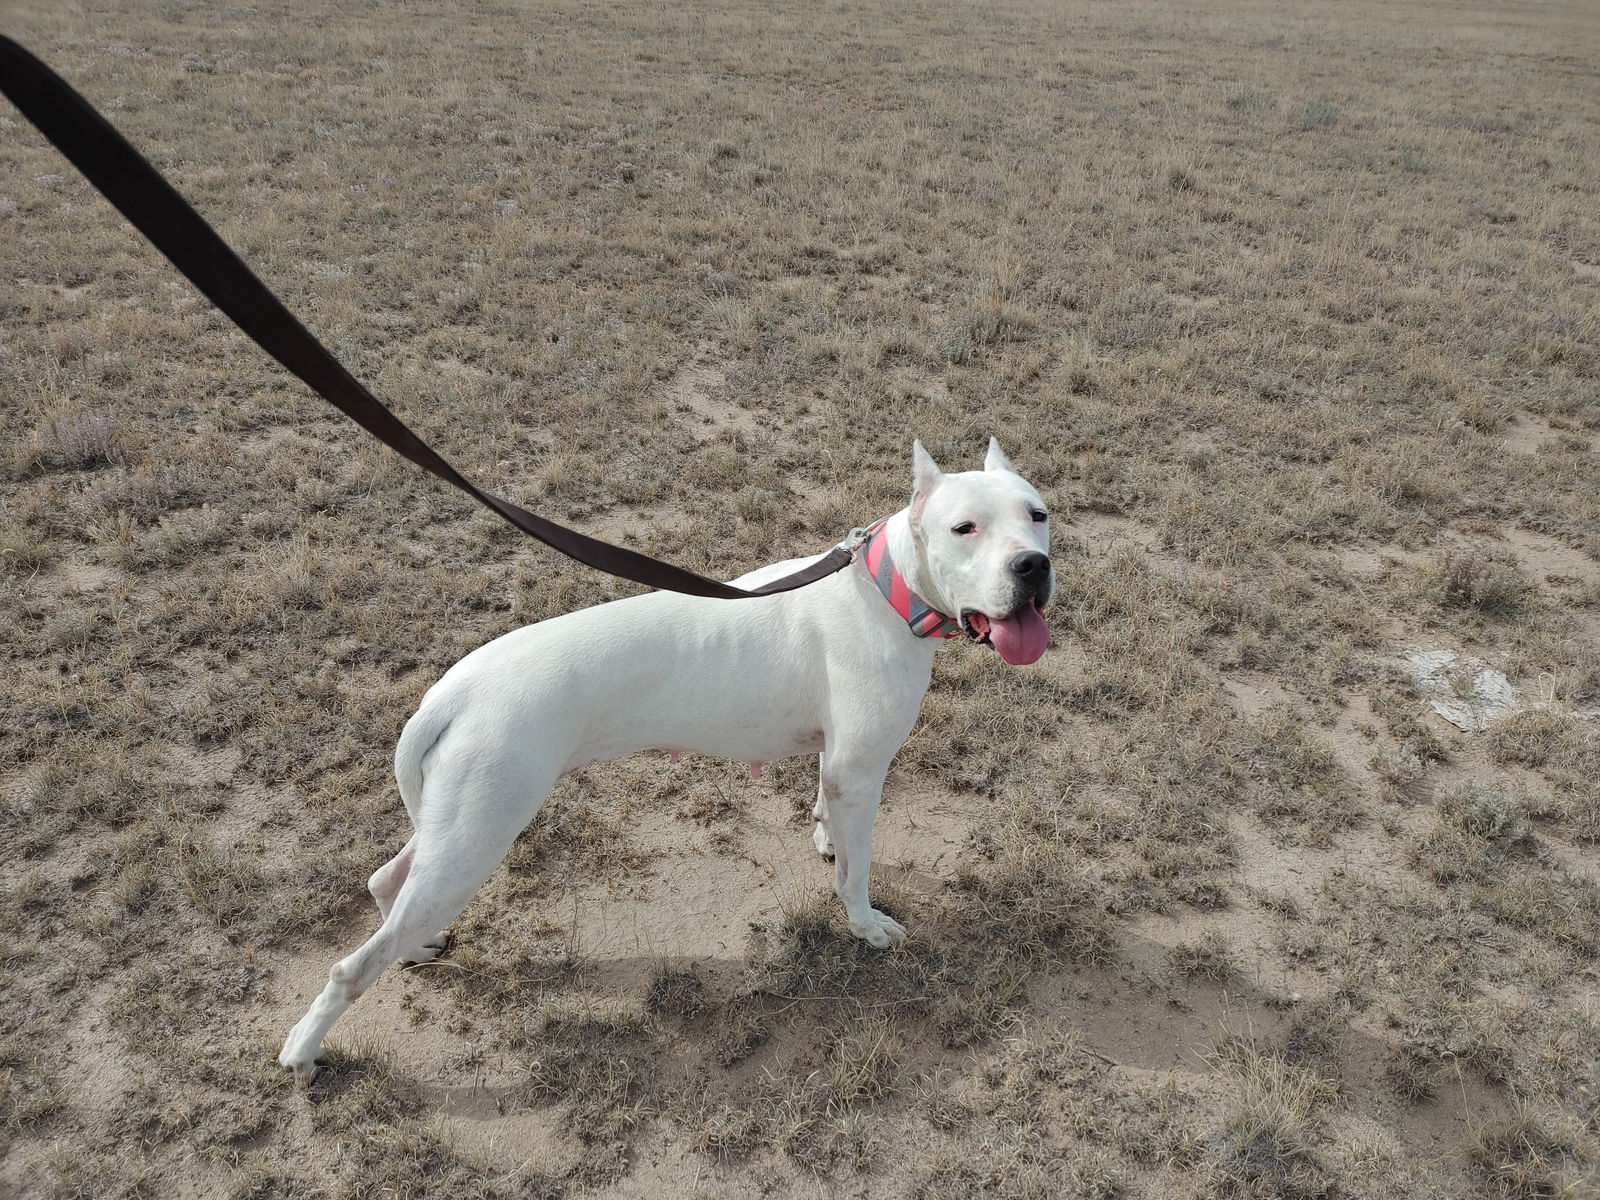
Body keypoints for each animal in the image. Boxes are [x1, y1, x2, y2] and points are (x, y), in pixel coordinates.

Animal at [278, 438, 1049, 1088]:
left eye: (1037, 515)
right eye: (964, 528)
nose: (1033, 566)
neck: (885, 587)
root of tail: (452, 690)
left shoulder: (837, 765)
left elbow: (830, 821)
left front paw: (827, 841)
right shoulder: (862, 772)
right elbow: (858, 873)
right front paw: (865, 923)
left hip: (457, 823)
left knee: (387, 882)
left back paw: (413, 949)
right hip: (479, 834)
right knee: (352, 965)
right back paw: (305, 1050)